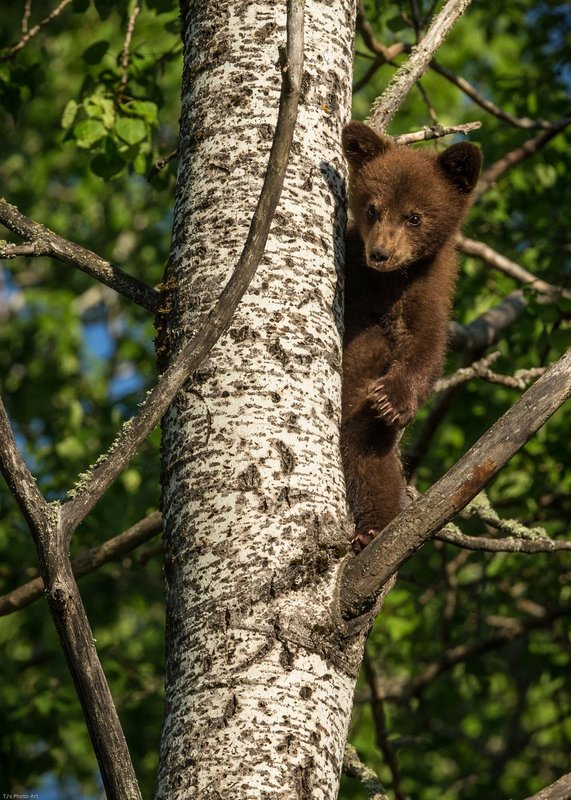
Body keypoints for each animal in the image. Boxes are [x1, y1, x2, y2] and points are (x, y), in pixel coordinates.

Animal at [341, 121, 482, 551]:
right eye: (372, 208)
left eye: (415, 217)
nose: (381, 254)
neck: (387, 283)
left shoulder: (428, 292)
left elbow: (427, 348)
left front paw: (392, 399)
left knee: (366, 449)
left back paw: (374, 528)